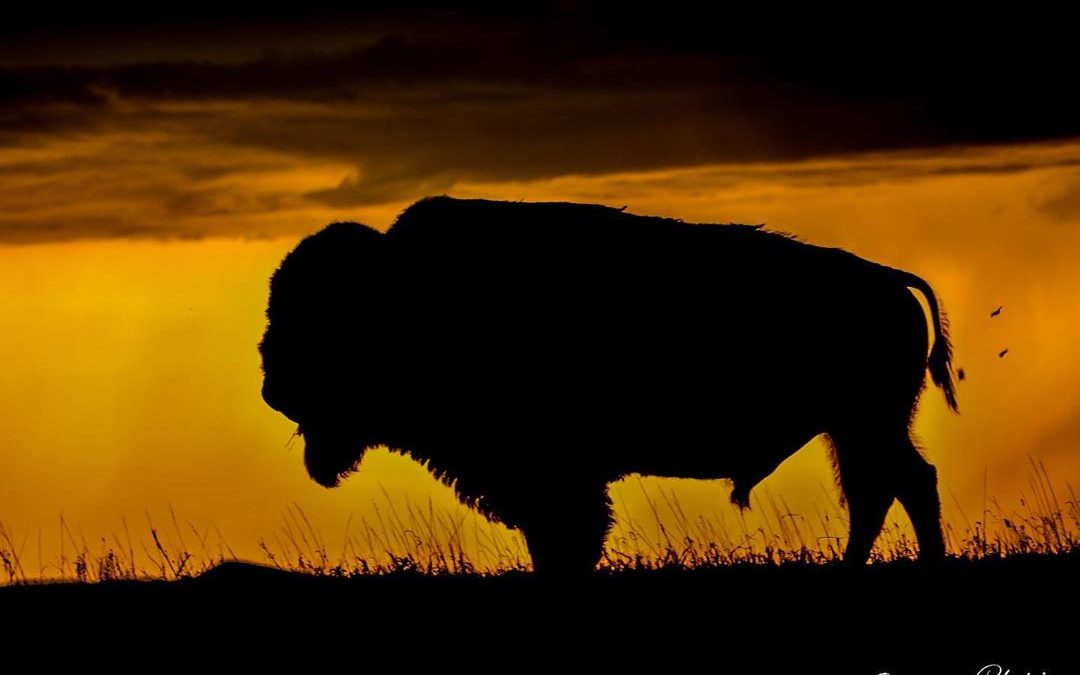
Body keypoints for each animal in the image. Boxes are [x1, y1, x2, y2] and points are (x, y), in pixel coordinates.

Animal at [259, 196, 958, 576]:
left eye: (317, 319)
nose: (272, 388)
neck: (402, 290)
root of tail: (887, 279)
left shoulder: (554, 477)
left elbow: (570, 532)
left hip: (866, 424)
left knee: (899, 485)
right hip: (858, 427)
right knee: (886, 488)